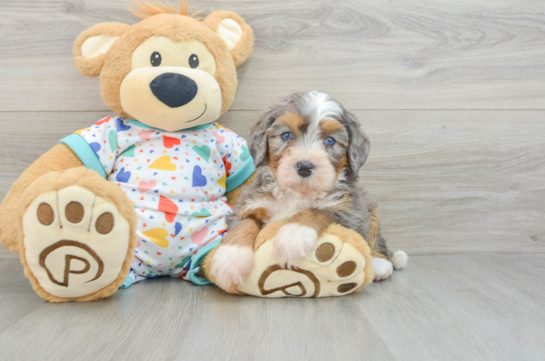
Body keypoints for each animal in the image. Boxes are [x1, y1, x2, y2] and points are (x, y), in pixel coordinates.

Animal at [210, 91, 406, 288]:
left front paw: (293, 236)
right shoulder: (251, 202)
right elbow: (244, 223)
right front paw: (230, 259)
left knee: (376, 240)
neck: (297, 193)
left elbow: (316, 209)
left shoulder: (350, 211)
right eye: (286, 135)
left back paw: (379, 264)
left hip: (369, 208)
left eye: (330, 140)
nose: (304, 167)